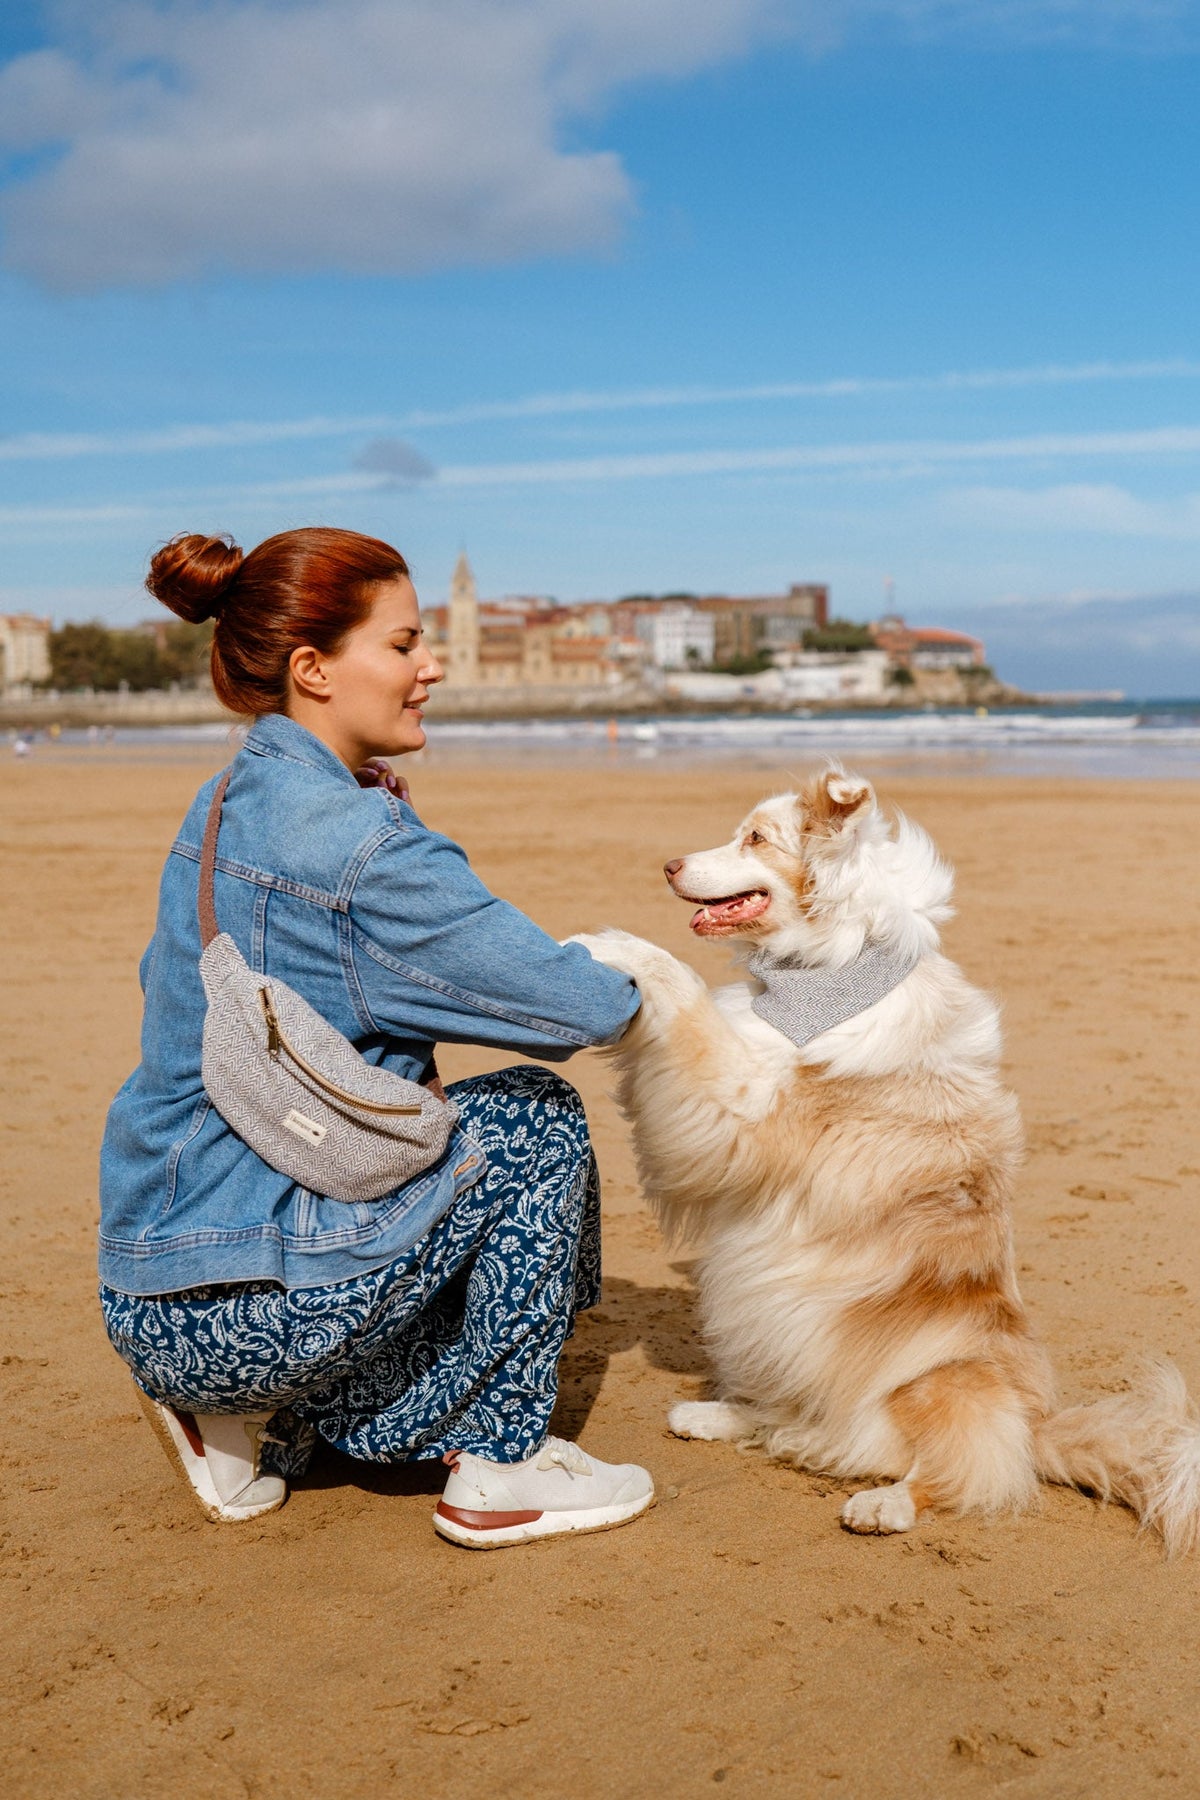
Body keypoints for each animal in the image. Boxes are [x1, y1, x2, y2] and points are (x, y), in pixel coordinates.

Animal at [572, 766, 1200, 1555]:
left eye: (756, 838)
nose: (668, 865)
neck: (836, 966)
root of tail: (1038, 1430)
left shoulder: (744, 1107)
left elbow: (684, 993)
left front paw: (613, 944)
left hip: (939, 1379)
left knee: (967, 1469)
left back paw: (886, 1503)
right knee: (793, 1414)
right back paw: (718, 1414)